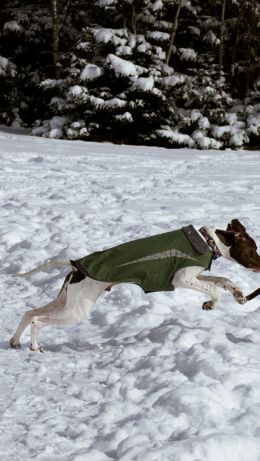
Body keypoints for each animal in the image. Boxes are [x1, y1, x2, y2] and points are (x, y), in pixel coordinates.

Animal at [9, 217, 260, 350]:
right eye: (254, 249)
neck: (208, 242)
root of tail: (75, 264)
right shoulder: (181, 279)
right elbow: (215, 290)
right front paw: (211, 303)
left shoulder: (195, 277)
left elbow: (223, 280)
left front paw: (238, 294)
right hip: (76, 310)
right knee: (38, 321)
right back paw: (35, 346)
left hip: (66, 301)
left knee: (29, 312)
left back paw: (14, 341)